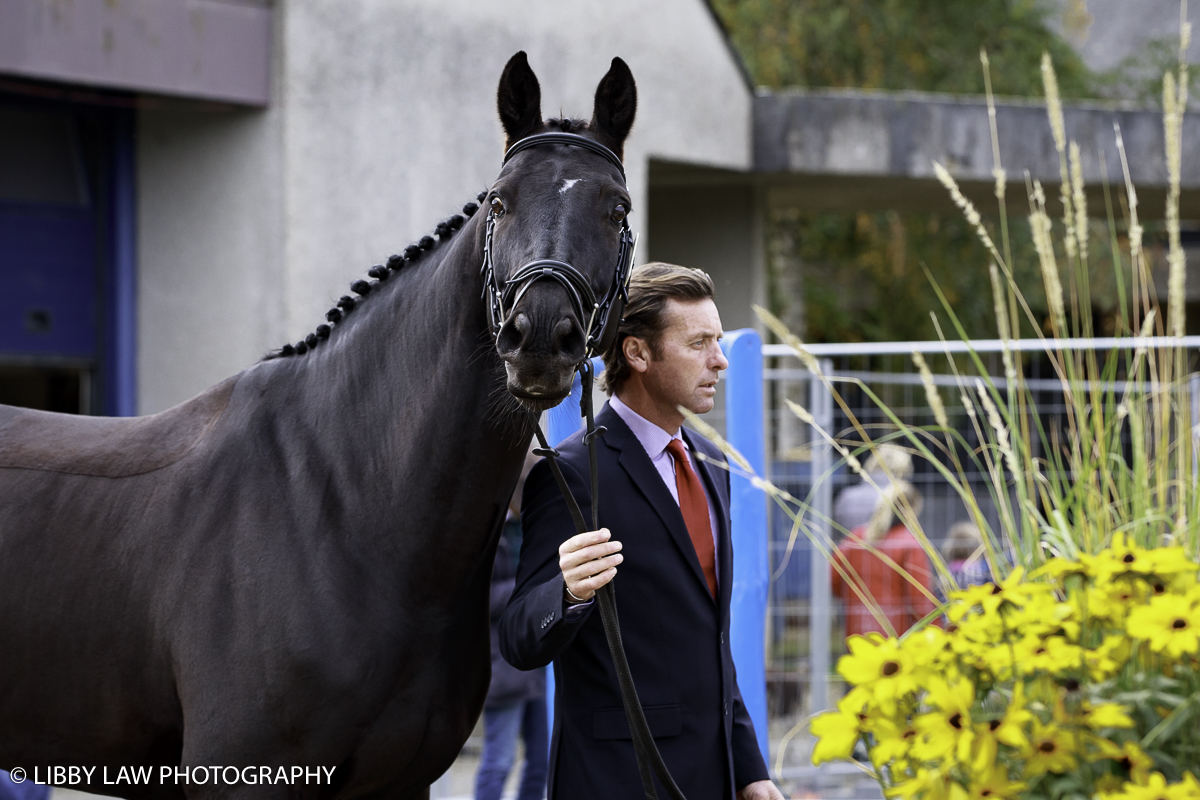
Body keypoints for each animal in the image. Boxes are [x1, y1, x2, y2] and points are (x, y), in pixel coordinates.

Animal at [0, 53, 638, 796]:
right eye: (501, 202)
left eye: (616, 208)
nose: (538, 336)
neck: (345, 506)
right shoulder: (240, 773)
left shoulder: (401, 783)